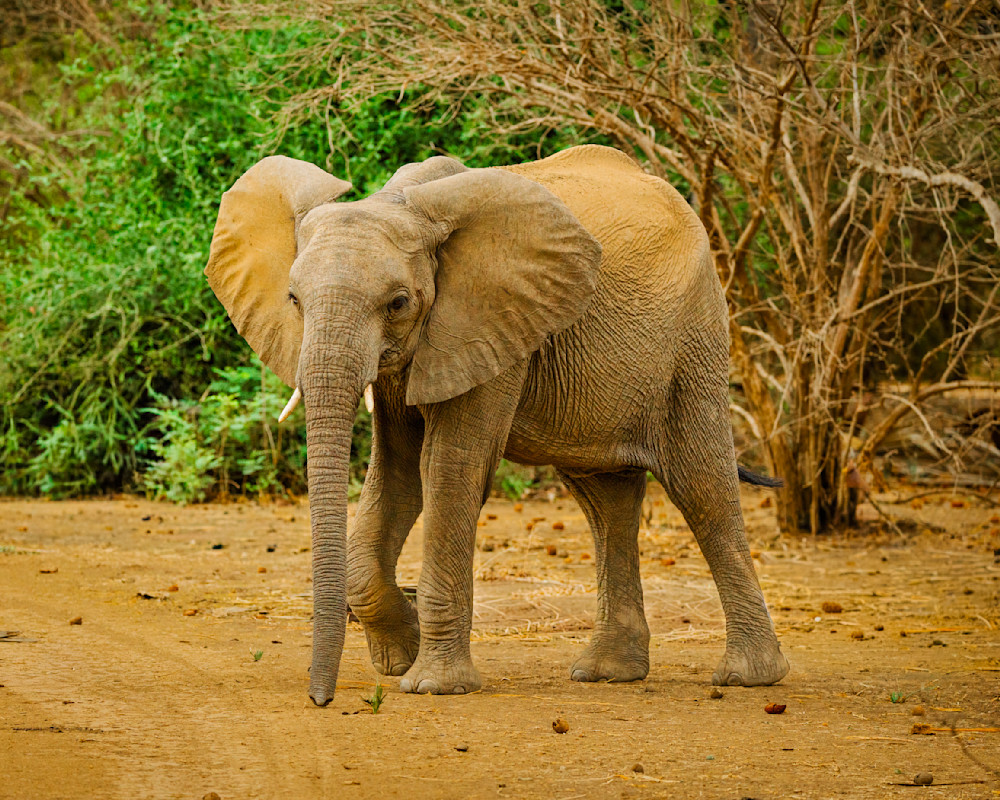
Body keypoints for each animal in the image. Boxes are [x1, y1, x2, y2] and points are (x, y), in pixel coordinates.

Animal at [205, 144, 789, 707]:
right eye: (293, 300)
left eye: (398, 302)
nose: (320, 700)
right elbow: (397, 476)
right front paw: (401, 653)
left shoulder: (488, 321)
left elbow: (448, 469)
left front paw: (431, 684)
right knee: (607, 500)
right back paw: (607, 673)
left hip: (693, 338)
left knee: (702, 487)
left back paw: (749, 678)